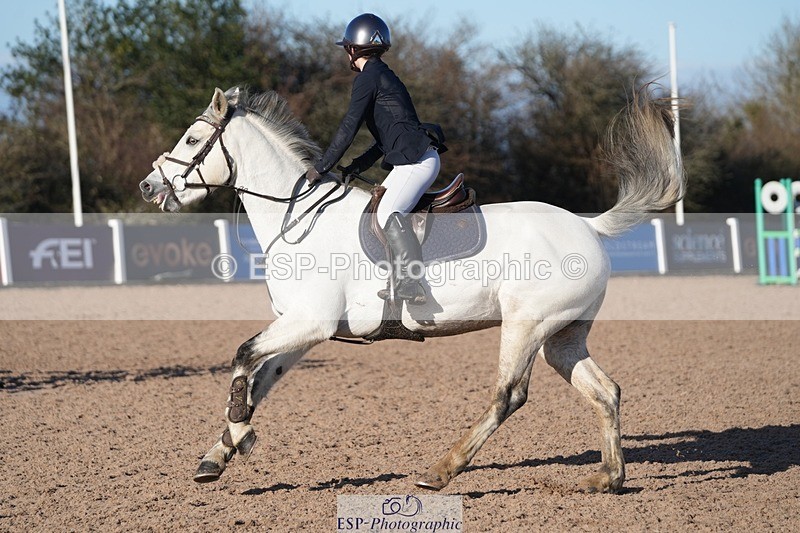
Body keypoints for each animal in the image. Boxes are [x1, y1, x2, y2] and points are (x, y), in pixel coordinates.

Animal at [139, 85, 683, 493]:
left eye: (191, 139)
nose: (149, 186)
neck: (298, 218)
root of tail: (588, 226)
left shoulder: (308, 322)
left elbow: (242, 357)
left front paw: (241, 435)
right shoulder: (305, 329)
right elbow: (257, 378)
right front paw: (217, 455)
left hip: (527, 325)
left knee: (508, 396)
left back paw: (440, 471)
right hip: (562, 336)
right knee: (605, 391)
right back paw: (608, 478)